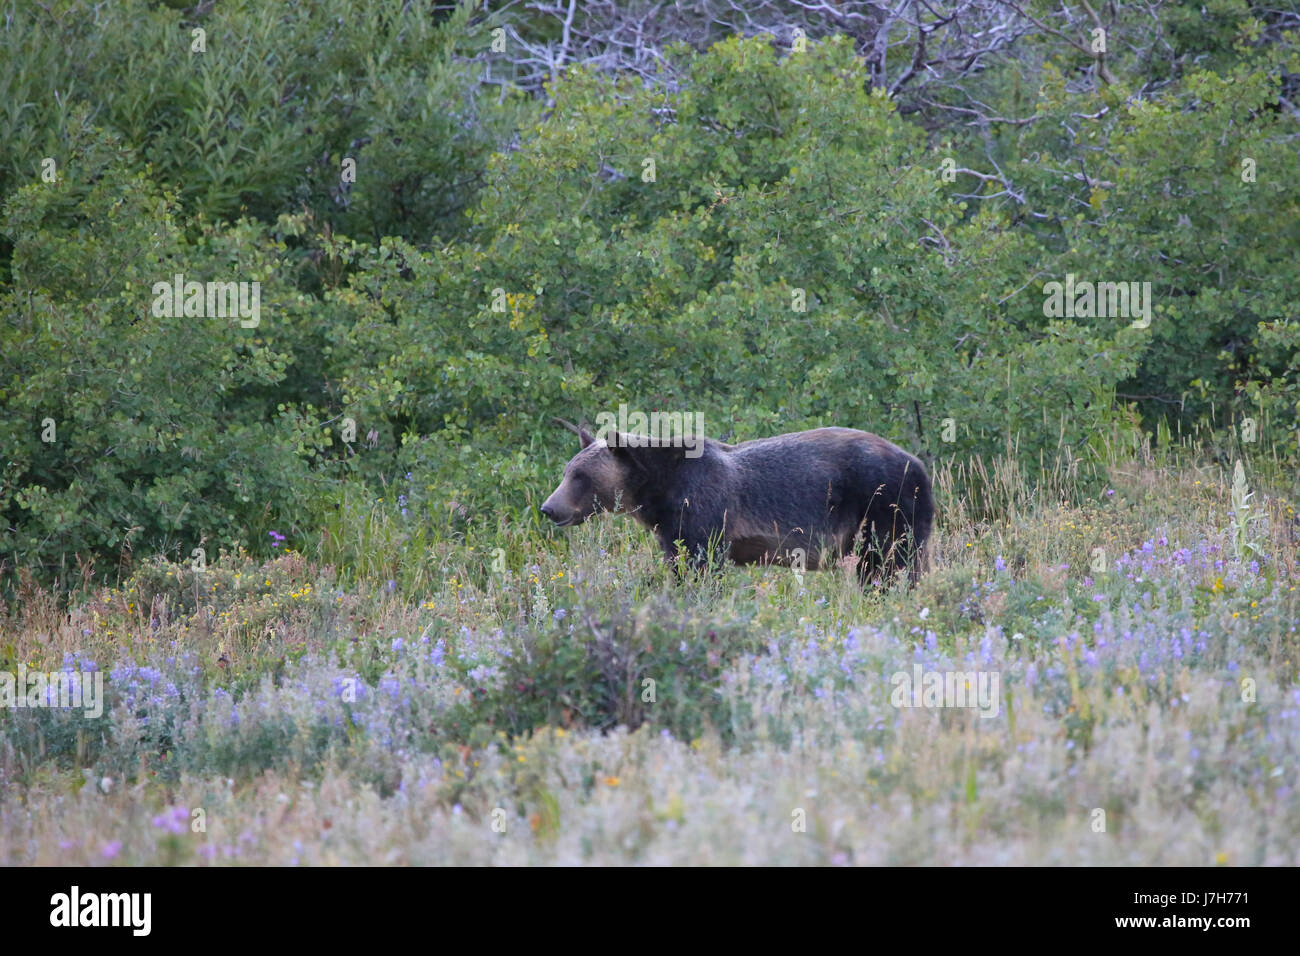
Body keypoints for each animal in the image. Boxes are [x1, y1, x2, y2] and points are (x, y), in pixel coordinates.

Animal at [540, 421, 935, 587]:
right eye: (567, 471)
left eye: (580, 476)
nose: (549, 508)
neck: (658, 489)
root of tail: (919, 464)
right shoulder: (670, 525)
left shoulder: (702, 509)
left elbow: (700, 563)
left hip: (884, 504)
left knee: (886, 563)